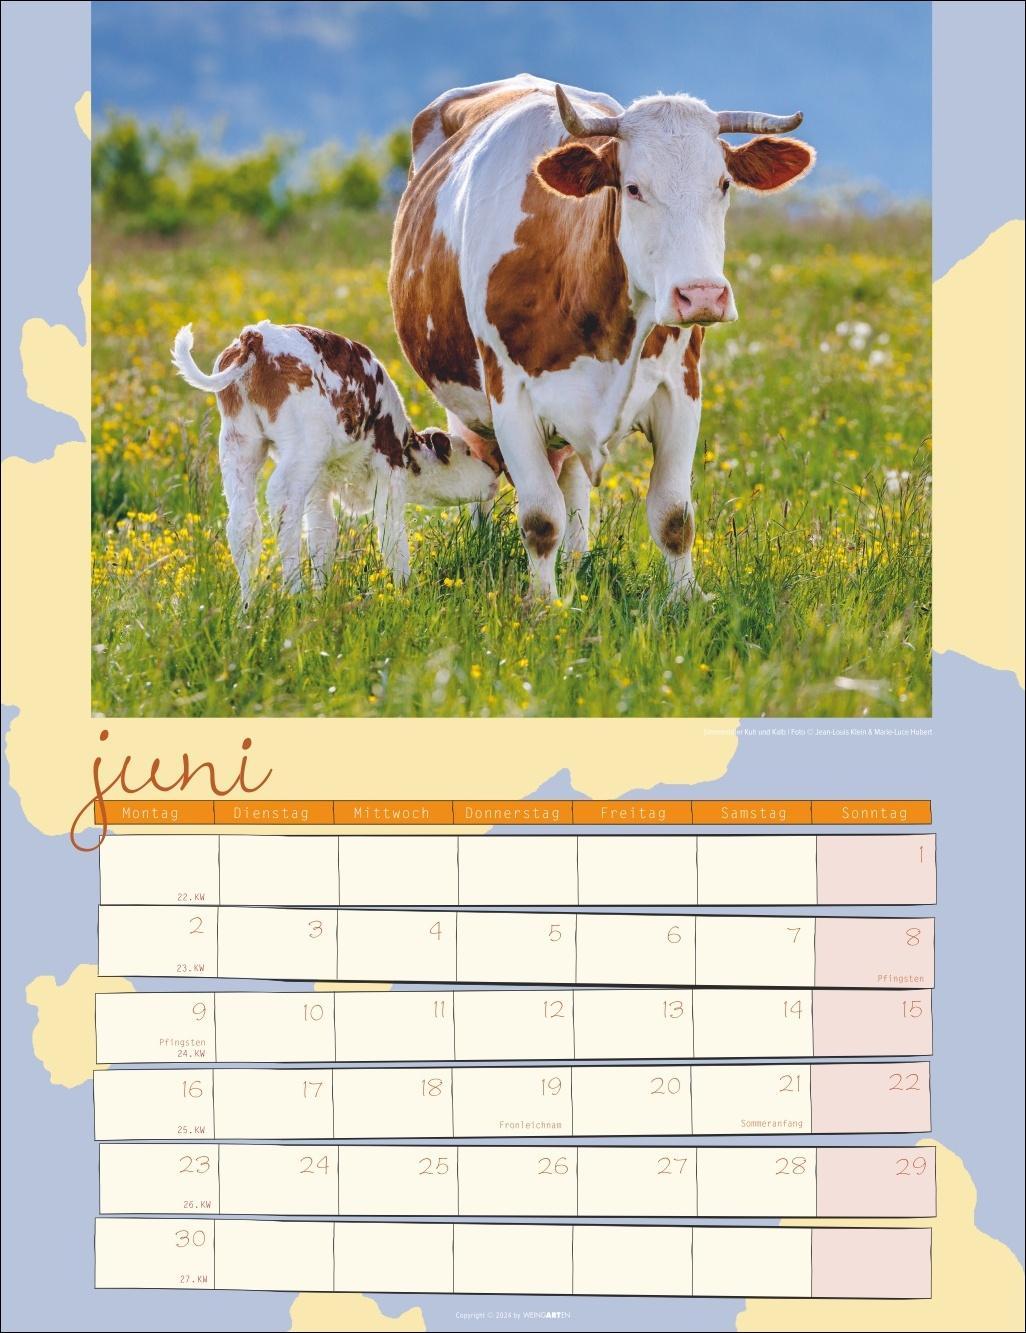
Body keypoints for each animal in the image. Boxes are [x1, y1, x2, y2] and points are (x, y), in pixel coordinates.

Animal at [171, 321, 500, 603]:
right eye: (468, 452)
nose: (494, 472)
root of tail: (255, 336)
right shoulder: (389, 469)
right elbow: (391, 532)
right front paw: (403, 589)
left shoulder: (321, 482)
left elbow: (322, 536)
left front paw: (322, 595)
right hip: (303, 449)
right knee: (282, 505)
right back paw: (294, 594)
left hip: (240, 443)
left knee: (243, 523)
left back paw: (247, 606)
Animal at [389, 73, 814, 601]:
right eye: (633, 188)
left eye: (723, 184)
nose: (702, 295)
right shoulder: (510, 397)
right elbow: (539, 518)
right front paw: (543, 605)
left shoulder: (681, 389)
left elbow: (673, 515)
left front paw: (685, 600)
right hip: (461, 403)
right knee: (483, 478)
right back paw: (486, 547)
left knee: (572, 485)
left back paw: (577, 563)